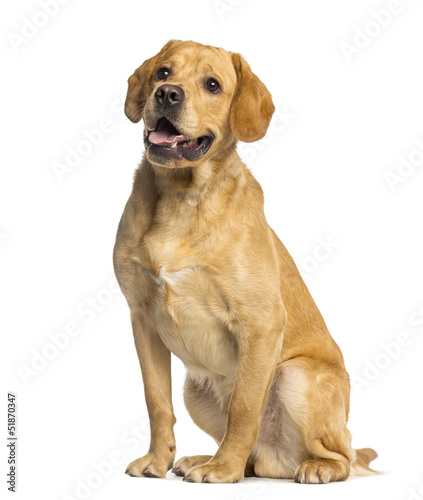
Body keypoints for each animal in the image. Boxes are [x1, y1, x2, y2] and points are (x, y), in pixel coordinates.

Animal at [113, 40, 378, 484]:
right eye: (163, 72)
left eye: (213, 85)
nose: (167, 95)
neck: (182, 197)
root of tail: (280, 462)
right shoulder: (142, 320)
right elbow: (156, 401)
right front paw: (158, 460)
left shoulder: (261, 323)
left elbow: (244, 408)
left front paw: (223, 470)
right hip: (195, 389)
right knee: (254, 460)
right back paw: (203, 459)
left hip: (294, 376)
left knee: (343, 457)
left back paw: (312, 466)